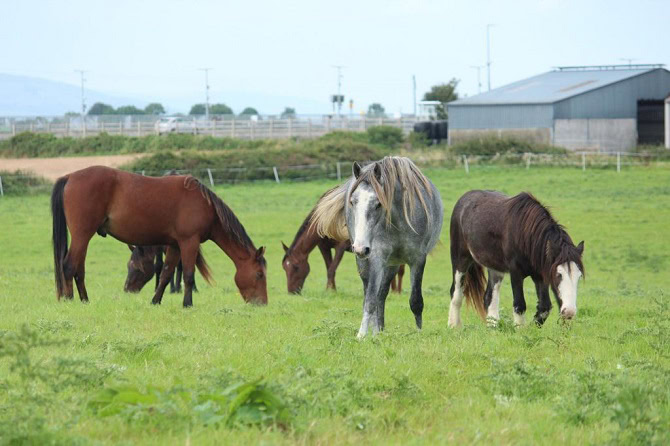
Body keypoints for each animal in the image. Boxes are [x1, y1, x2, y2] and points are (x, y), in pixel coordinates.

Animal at [51, 165, 270, 306]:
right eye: (259, 274)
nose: (262, 303)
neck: (204, 205)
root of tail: (69, 177)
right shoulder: (189, 242)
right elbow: (188, 274)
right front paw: (187, 304)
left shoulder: (174, 245)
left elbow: (166, 273)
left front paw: (156, 300)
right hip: (82, 235)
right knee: (69, 266)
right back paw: (70, 300)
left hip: (83, 237)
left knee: (79, 268)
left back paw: (85, 300)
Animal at [312, 157, 444, 338]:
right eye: (353, 202)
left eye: (378, 204)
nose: (360, 248)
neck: (398, 221)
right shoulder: (376, 257)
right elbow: (370, 300)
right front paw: (361, 335)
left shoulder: (418, 260)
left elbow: (416, 301)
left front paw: (418, 332)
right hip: (367, 262)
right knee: (371, 293)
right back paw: (375, 332)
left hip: (392, 264)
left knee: (382, 294)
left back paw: (379, 331)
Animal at [448, 191, 584, 328]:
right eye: (558, 274)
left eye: (579, 277)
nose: (569, 312)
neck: (525, 235)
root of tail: (464, 198)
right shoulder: (516, 273)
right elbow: (520, 305)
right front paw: (520, 329)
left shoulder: (540, 275)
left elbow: (544, 307)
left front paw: (531, 328)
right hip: (460, 260)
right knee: (456, 293)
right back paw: (454, 326)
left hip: (495, 268)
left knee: (489, 297)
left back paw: (493, 326)